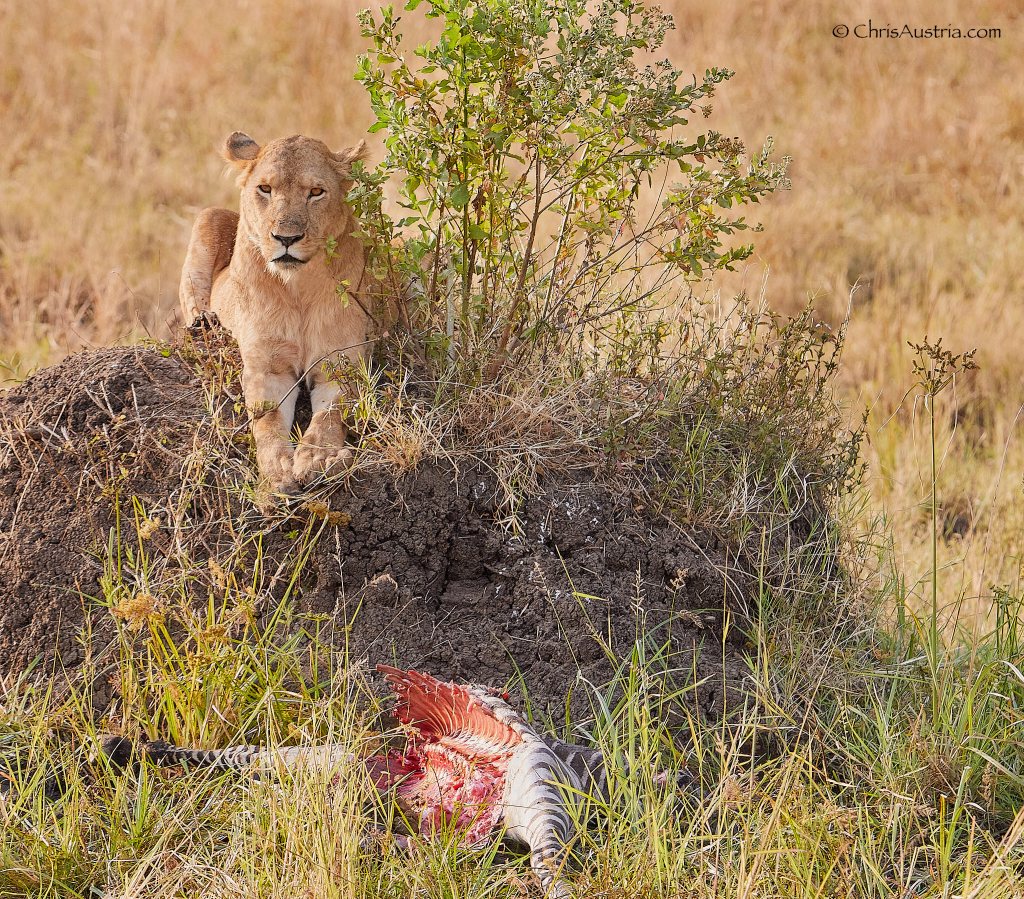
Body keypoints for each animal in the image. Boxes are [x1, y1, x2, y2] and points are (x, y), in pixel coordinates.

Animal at [179, 131, 381, 494]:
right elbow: (268, 420)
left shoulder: (339, 363)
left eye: (315, 192)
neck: (296, 288)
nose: (286, 238)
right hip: (210, 216)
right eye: (265, 189)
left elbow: (329, 415)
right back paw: (203, 324)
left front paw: (317, 458)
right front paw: (278, 472)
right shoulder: (268, 368)